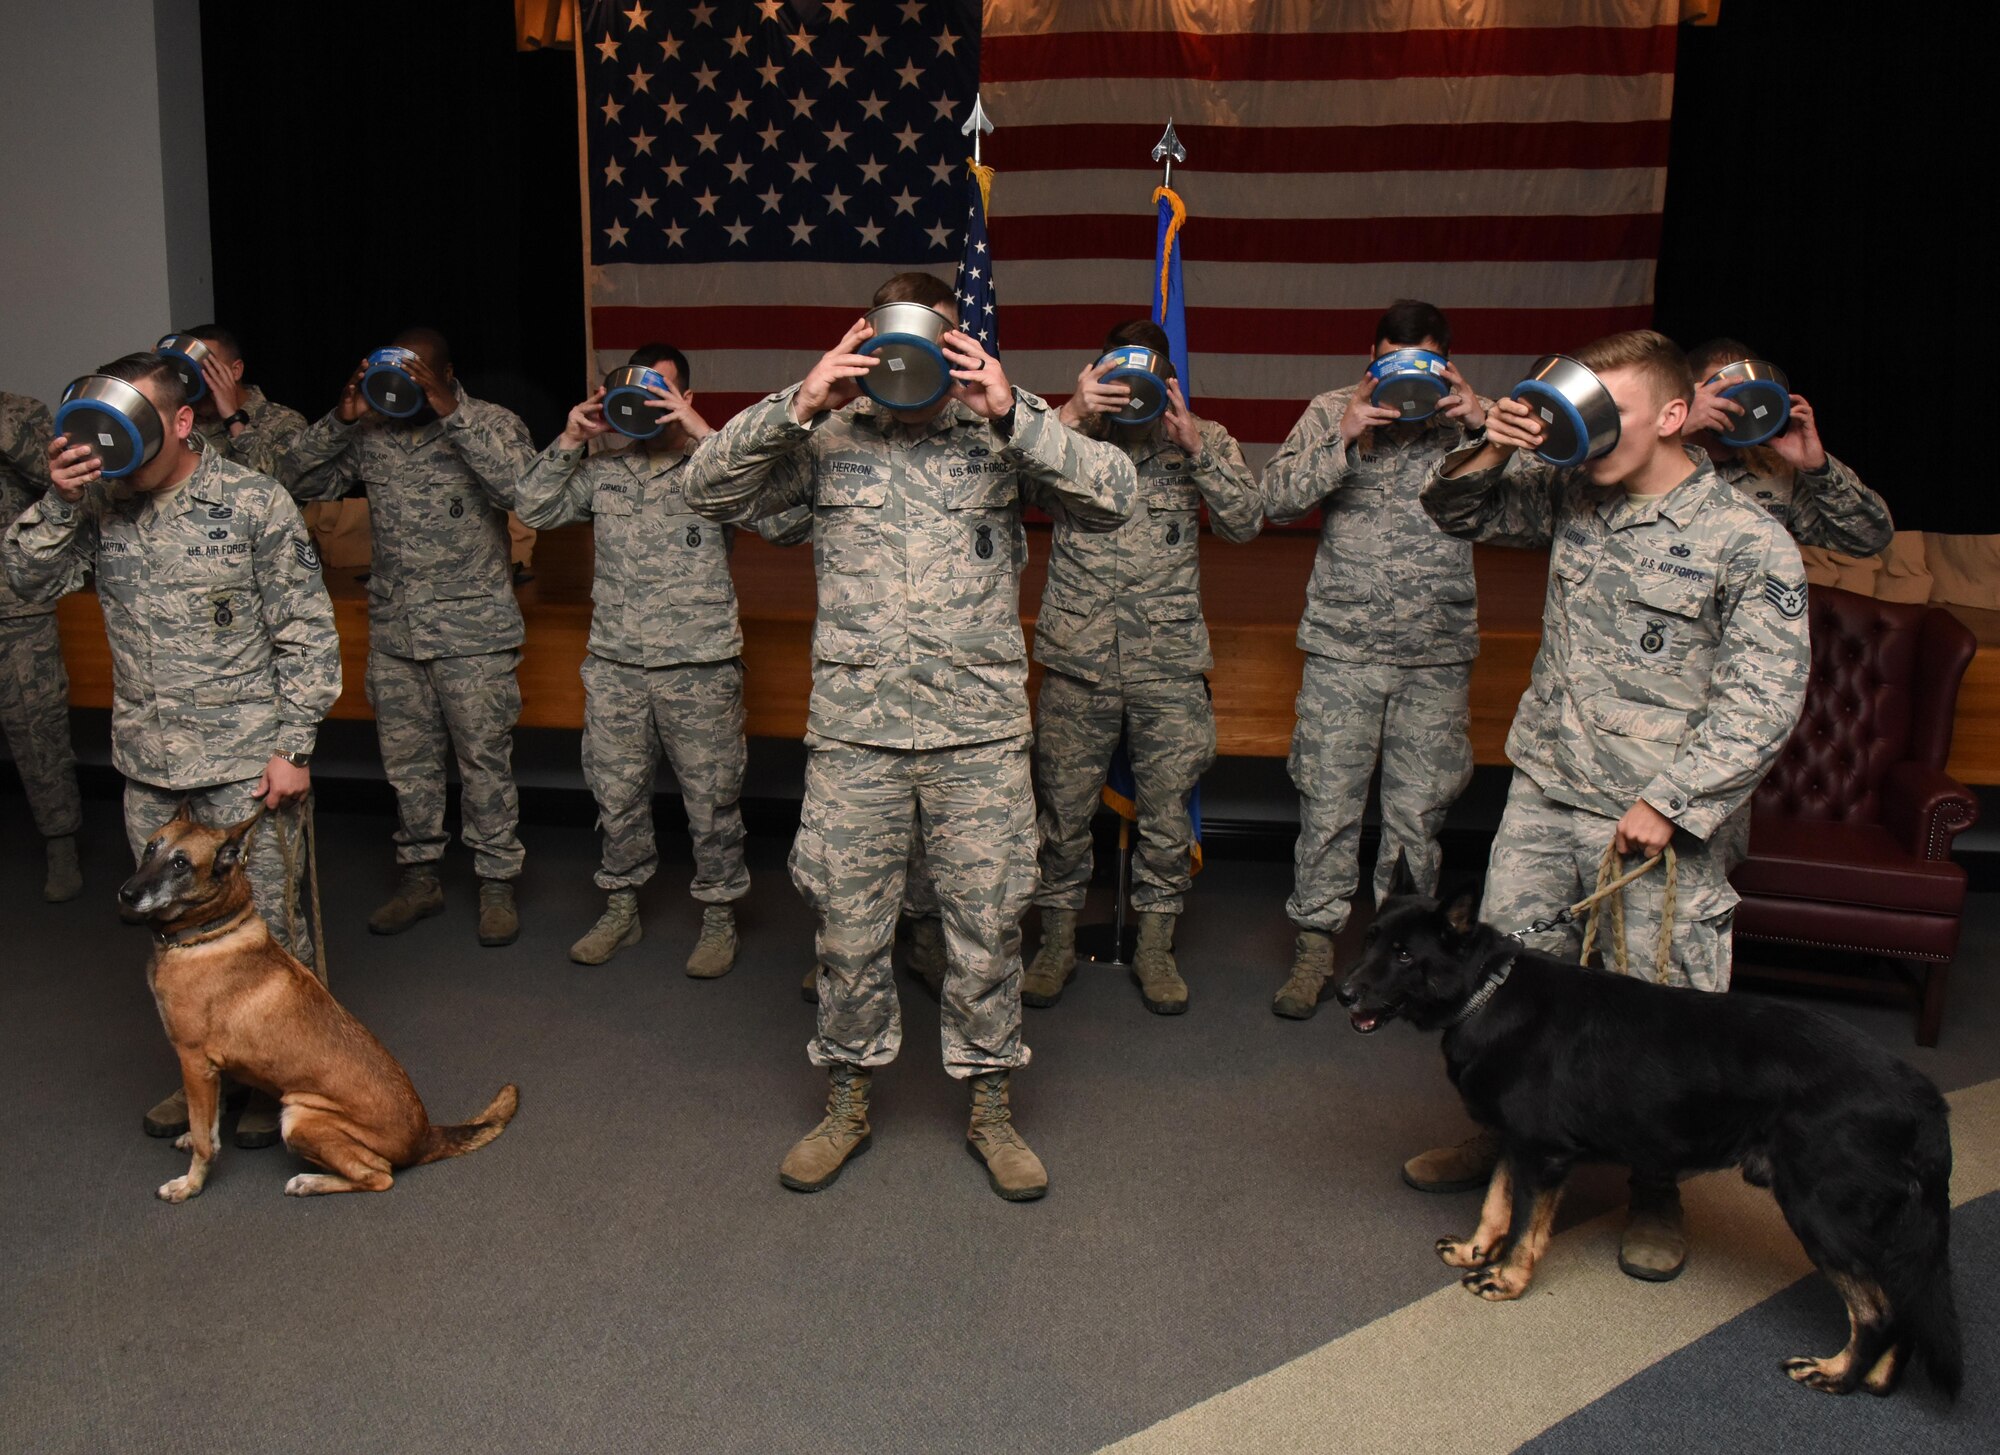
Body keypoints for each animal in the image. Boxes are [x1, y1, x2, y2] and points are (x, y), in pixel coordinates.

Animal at [121, 799, 520, 1199]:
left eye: (181, 864)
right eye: (150, 849)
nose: (126, 894)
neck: (208, 932)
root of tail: (425, 1136)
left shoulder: (194, 1060)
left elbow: (206, 1139)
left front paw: (190, 1184)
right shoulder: (208, 1069)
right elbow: (210, 1122)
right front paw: (193, 1135)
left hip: (300, 1117)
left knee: (379, 1175)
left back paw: (309, 1182)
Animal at [1336, 887, 1960, 1399]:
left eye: (1404, 956)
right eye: (1370, 942)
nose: (1341, 994)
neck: (1488, 992)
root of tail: (1925, 1100)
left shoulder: (1544, 1155)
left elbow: (1524, 1230)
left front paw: (1507, 1280)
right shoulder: (1517, 1146)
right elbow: (1495, 1203)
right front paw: (1475, 1250)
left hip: (1819, 1213)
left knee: (1877, 1311)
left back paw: (1839, 1374)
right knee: (1904, 1305)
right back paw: (1878, 1380)